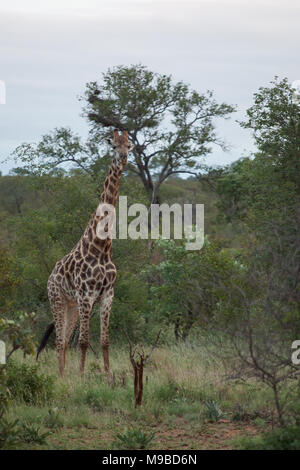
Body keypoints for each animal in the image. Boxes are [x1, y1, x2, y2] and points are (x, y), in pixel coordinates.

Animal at [37, 129, 135, 378]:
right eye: (113, 146)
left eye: (129, 145)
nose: (123, 158)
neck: (102, 246)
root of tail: (50, 276)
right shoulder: (86, 295)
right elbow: (83, 341)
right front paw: (82, 376)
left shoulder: (107, 295)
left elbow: (104, 341)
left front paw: (108, 376)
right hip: (57, 299)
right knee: (59, 341)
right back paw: (62, 377)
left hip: (71, 306)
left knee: (62, 341)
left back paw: (63, 375)